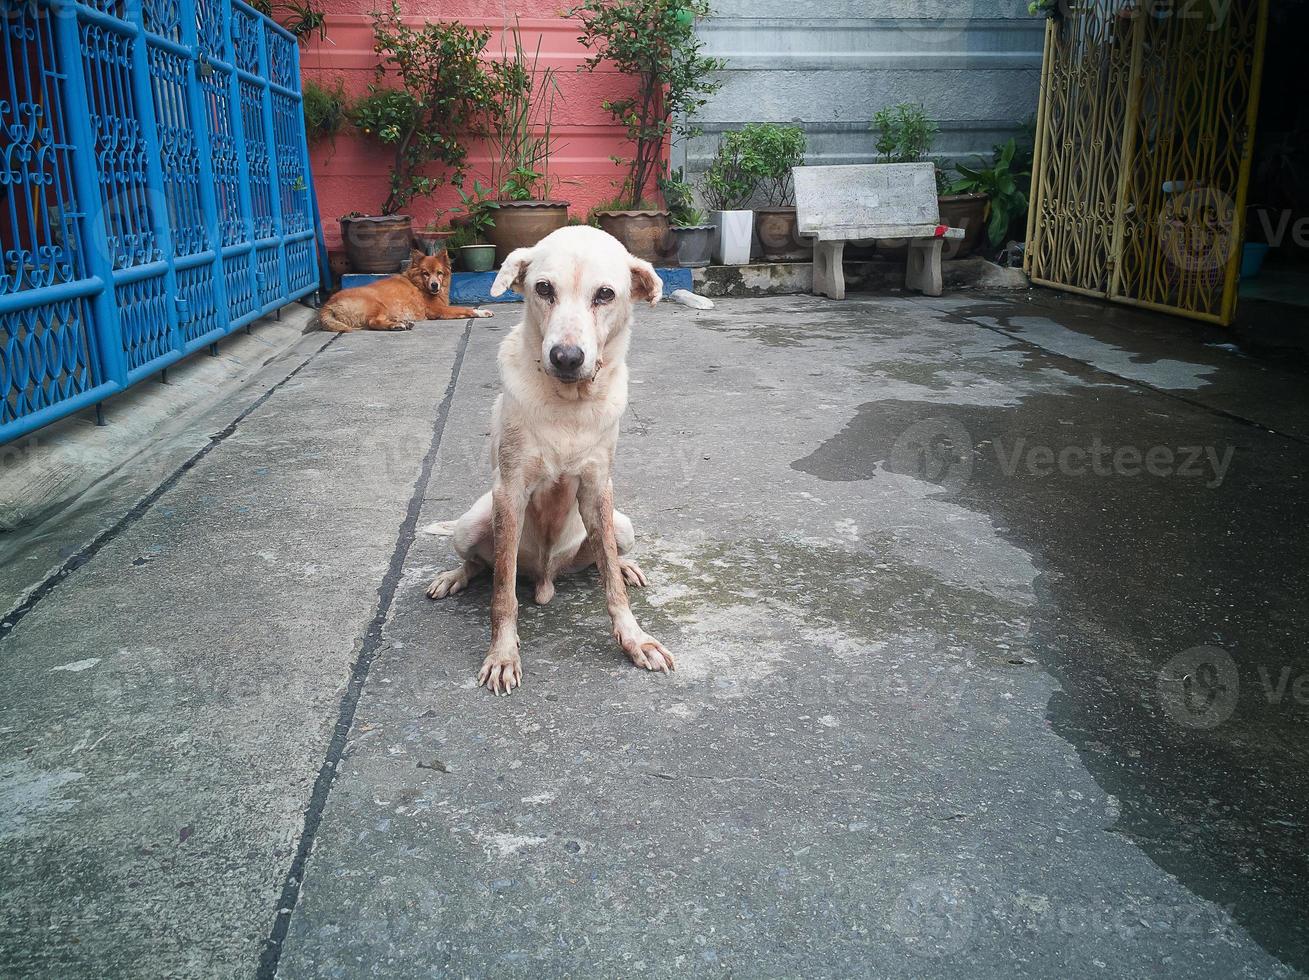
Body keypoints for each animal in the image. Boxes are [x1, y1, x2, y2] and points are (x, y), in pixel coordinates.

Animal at [319, 248, 492, 332]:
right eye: (425, 273)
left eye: (439, 273)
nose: (434, 285)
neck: (419, 285)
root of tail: (329, 304)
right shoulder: (437, 310)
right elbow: (465, 309)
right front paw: (482, 312)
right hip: (377, 304)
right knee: (373, 322)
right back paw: (396, 326)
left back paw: (402, 322)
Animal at [424, 225, 675, 690]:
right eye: (543, 289)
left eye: (605, 294)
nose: (566, 357)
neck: (569, 404)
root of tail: (545, 578)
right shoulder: (509, 493)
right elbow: (502, 591)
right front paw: (503, 654)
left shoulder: (597, 489)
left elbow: (612, 585)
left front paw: (634, 638)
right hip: (472, 524)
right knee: (479, 565)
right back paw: (454, 577)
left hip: (622, 525)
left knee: (606, 558)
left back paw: (625, 566)